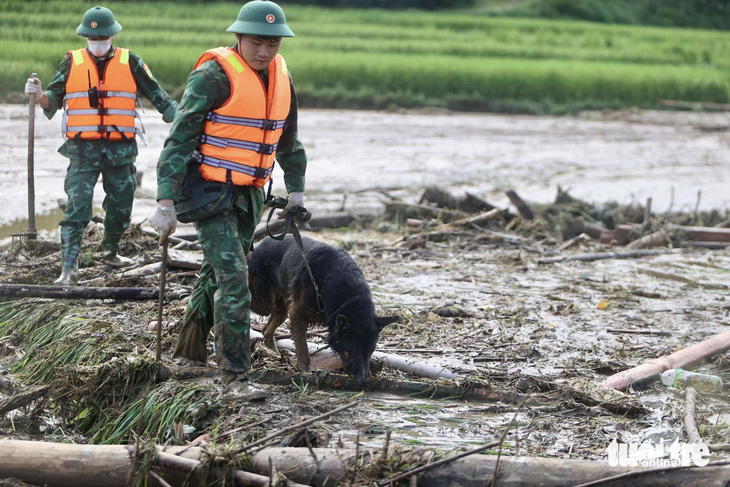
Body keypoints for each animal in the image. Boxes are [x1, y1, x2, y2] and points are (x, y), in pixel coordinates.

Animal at [246, 236, 396, 386]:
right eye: (353, 350)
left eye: (371, 351)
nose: (364, 381)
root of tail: (258, 245)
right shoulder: (297, 314)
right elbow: (303, 345)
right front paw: (304, 369)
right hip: (262, 302)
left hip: (280, 307)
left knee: (266, 330)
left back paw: (273, 352)